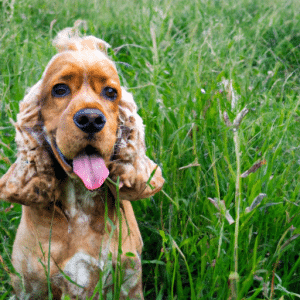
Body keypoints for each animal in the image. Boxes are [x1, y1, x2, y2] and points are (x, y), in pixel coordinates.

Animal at [0, 22, 164, 298]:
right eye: (60, 89)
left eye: (111, 92)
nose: (91, 119)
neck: (81, 205)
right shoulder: (31, 284)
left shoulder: (129, 278)